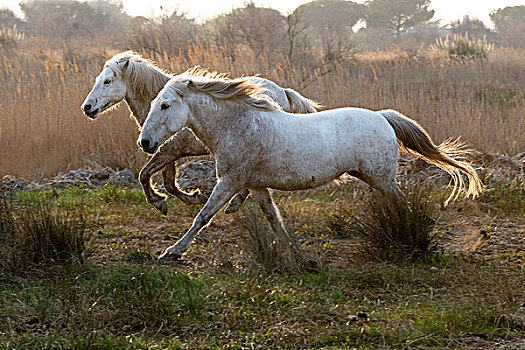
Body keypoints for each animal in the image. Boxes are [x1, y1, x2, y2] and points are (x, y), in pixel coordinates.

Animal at [82, 50, 320, 215]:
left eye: (108, 81)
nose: (87, 108)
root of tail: (282, 91)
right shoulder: (166, 151)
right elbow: (167, 182)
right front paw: (190, 198)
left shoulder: (169, 151)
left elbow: (146, 175)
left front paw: (166, 203)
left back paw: (233, 204)